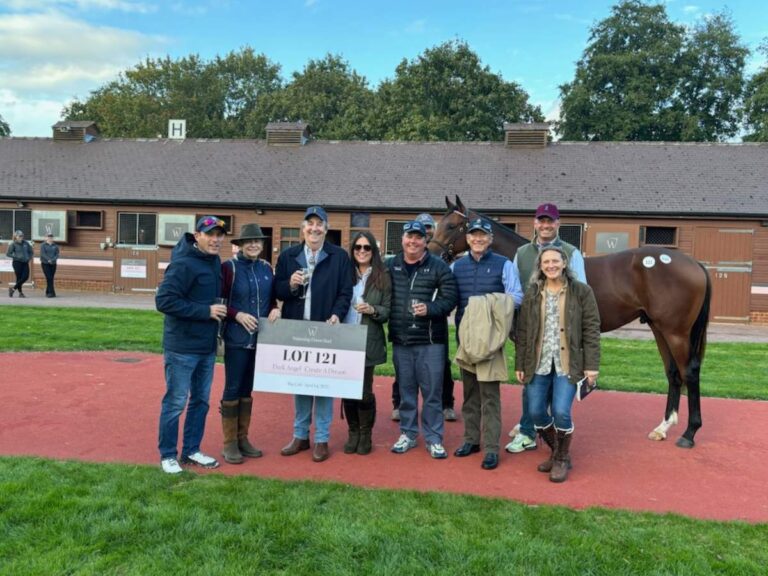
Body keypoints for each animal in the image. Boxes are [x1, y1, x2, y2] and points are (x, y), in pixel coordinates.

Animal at [432, 196, 712, 448]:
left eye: (452, 225)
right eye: (437, 223)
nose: (433, 254)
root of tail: (694, 263)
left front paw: (528, 429)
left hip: (676, 332)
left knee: (689, 372)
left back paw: (689, 433)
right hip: (660, 328)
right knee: (673, 373)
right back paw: (663, 427)